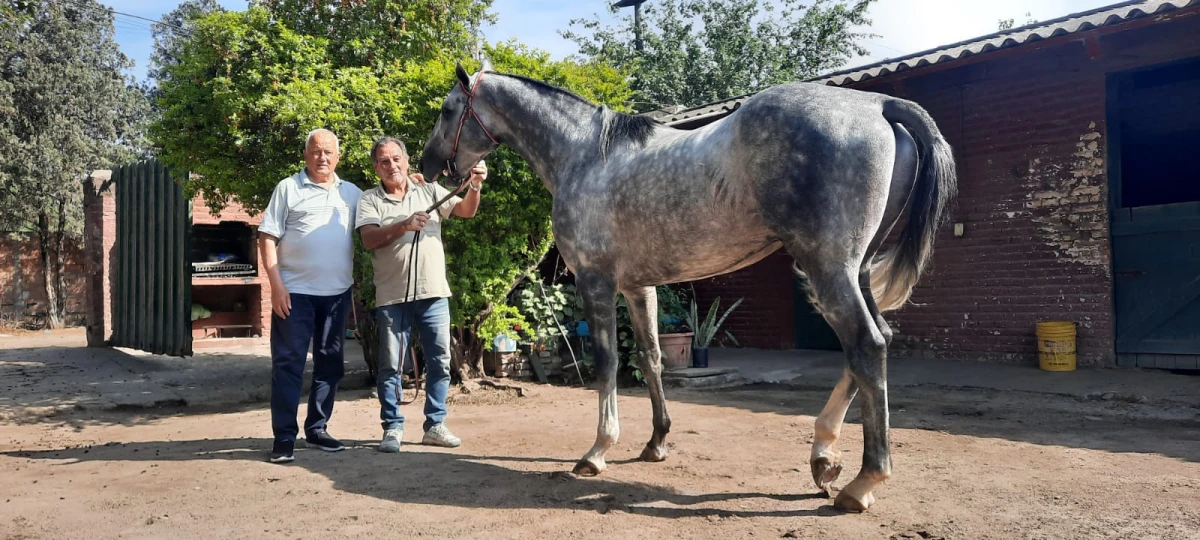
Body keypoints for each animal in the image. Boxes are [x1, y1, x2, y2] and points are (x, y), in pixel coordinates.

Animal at [422, 61, 955, 513]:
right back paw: (823, 456)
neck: (584, 155)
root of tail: (877, 104)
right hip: (855, 270)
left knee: (867, 345)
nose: (428, 166)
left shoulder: (596, 281)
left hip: (829, 268)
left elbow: (606, 363)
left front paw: (597, 451)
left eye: (448, 110)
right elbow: (652, 359)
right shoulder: (639, 288)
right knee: (875, 341)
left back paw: (862, 482)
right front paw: (656, 442)